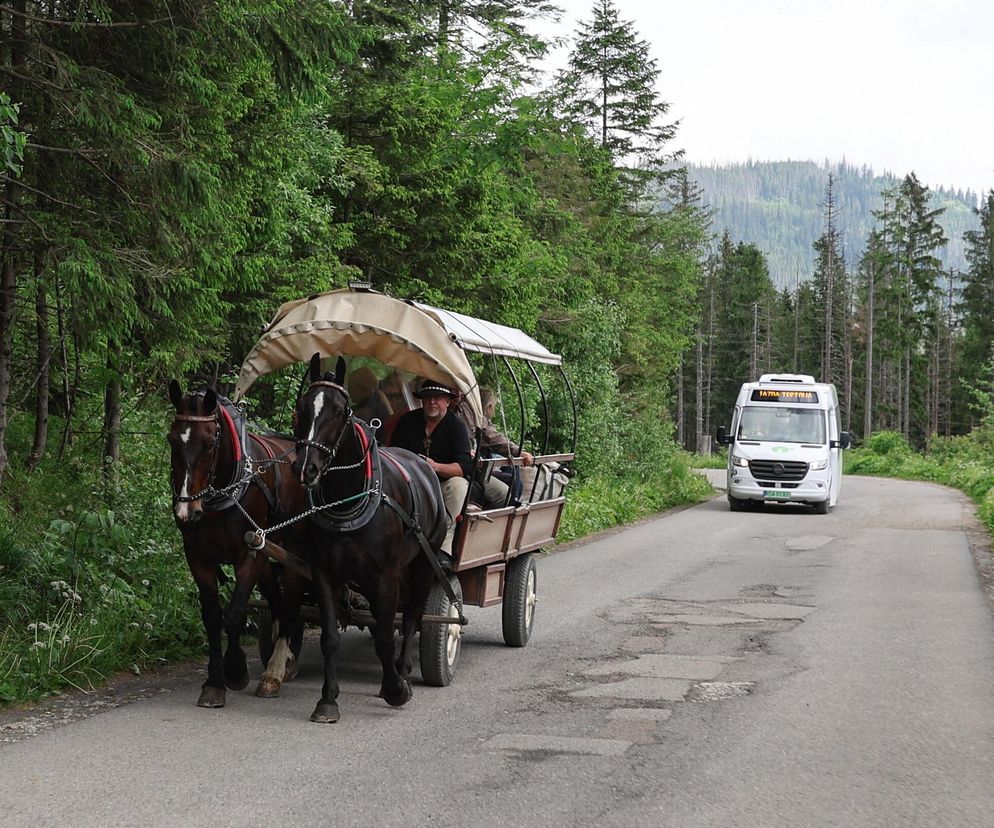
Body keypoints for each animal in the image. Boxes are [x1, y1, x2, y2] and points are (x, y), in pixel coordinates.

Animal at [166, 380, 310, 704]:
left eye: (209, 443)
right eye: (171, 440)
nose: (185, 512)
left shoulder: (249, 554)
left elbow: (234, 614)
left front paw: (235, 671)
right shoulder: (198, 558)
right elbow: (211, 616)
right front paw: (214, 682)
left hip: (292, 551)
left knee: (292, 601)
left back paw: (275, 669)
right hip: (269, 553)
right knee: (277, 600)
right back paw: (284, 662)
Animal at [288, 352, 448, 720]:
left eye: (340, 410)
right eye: (302, 407)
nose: (306, 468)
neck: (348, 499)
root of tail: (422, 463)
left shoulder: (383, 576)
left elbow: (388, 636)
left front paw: (395, 689)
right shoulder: (324, 573)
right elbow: (330, 637)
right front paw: (328, 699)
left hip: (425, 561)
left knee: (413, 616)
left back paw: (403, 671)